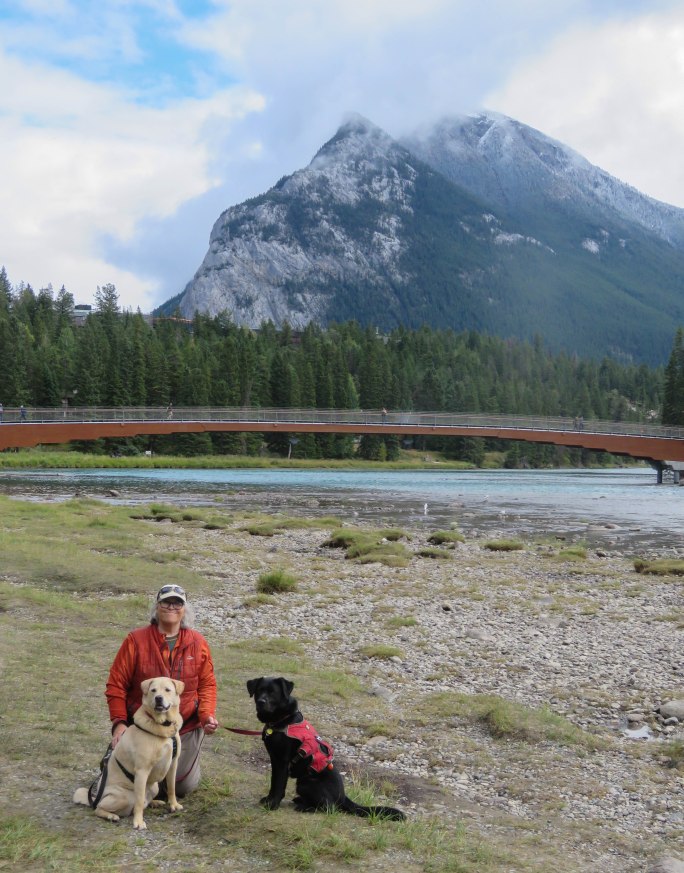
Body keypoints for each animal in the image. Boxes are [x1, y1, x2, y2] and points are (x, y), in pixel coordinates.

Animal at [73, 677, 184, 829]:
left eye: (167, 690)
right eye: (153, 690)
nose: (158, 698)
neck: (163, 725)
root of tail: (97, 796)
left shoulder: (173, 763)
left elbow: (172, 787)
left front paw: (174, 804)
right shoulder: (142, 771)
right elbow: (139, 801)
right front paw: (138, 822)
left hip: (154, 787)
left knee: (145, 801)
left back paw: (155, 802)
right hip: (124, 797)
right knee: (99, 808)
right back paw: (111, 816)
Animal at [247, 676, 405, 820]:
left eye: (273, 693)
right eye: (259, 691)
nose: (261, 702)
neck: (281, 721)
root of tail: (343, 796)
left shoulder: (282, 761)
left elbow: (279, 785)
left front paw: (272, 805)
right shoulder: (274, 759)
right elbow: (274, 783)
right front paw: (268, 799)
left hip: (306, 783)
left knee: (329, 807)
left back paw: (305, 807)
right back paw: (301, 801)